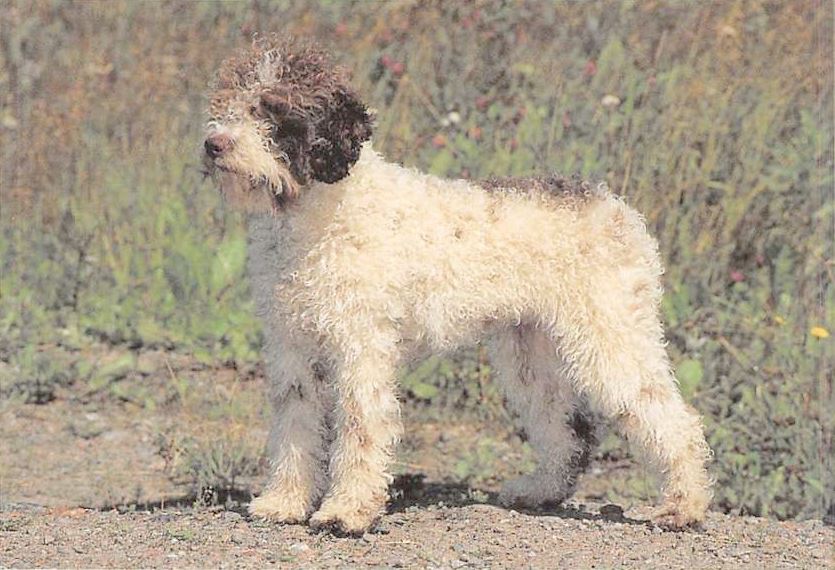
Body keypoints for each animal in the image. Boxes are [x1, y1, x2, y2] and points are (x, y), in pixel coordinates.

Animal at [202, 35, 712, 532]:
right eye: (227, 101)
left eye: (272, 109)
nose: (213, 144)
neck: (317, 216)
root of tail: (615, 207)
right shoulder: (291, 348)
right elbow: (294, 428)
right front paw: (283, 502)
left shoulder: (360, 348)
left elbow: (360, 429)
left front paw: (346, 512)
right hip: (531, 355)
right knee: (567, 430)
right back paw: (538, 491)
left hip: (611, 342)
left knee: (676, 422)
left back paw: (683, 508)